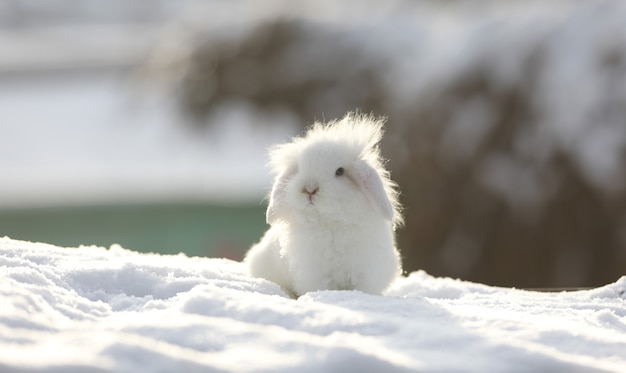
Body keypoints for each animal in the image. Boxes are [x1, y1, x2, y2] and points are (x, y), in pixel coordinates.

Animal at [241, 112, 402, 294]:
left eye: (340, 171)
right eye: (300, 169)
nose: (310, 188)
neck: (330, 221)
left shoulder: (364, 272)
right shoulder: (314, 273)